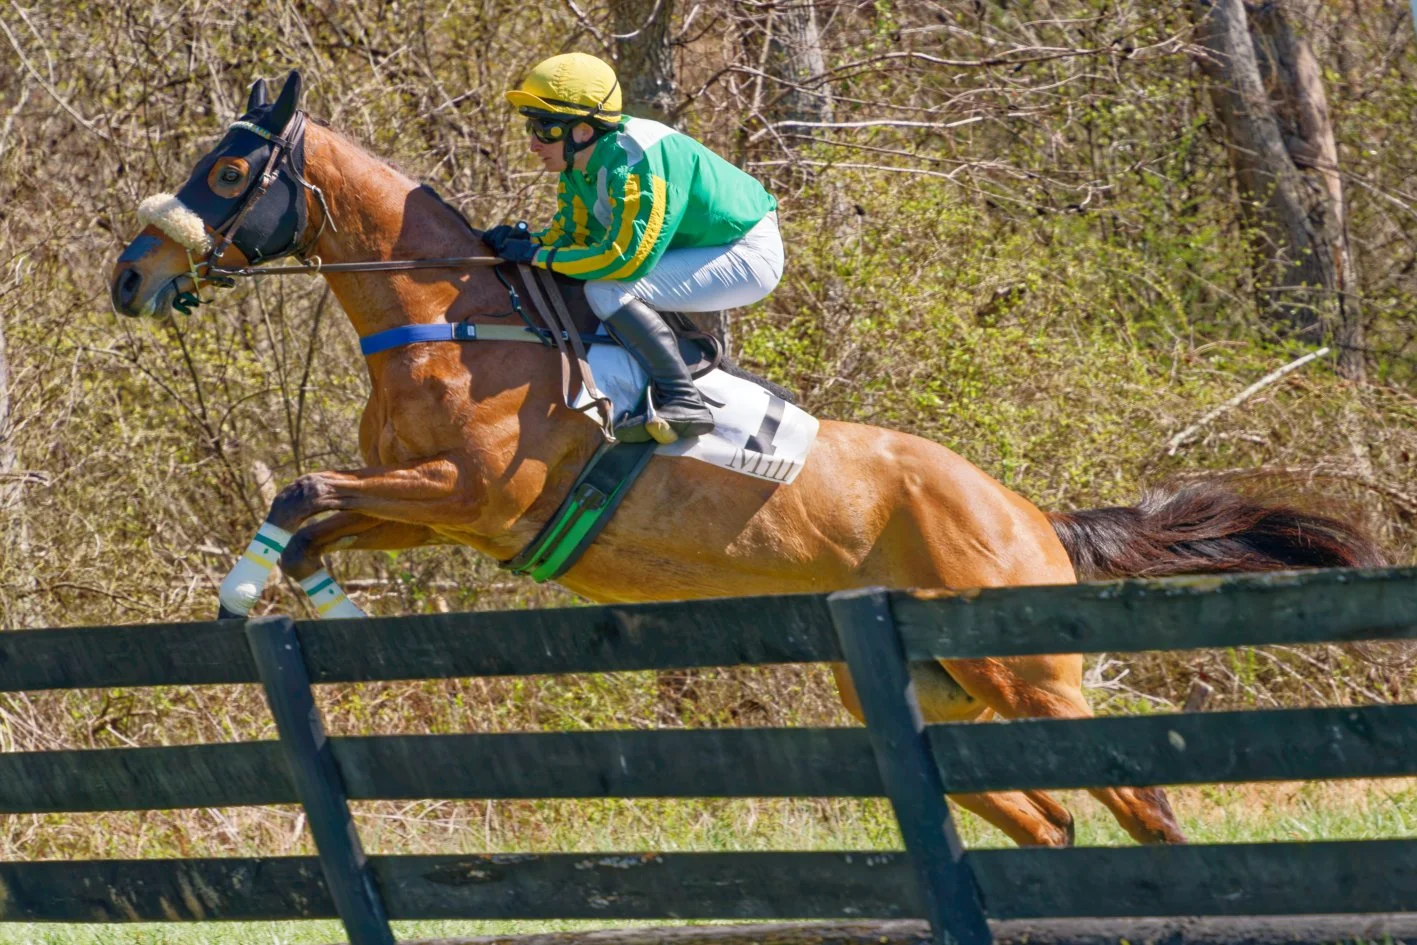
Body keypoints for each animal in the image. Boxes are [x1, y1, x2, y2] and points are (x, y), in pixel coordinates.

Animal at [109, 71, 1383, 849]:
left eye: (230, 174)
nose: (130, 277)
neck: (455, 323)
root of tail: (1028, 515)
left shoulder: (476, 495)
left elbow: (303, 488)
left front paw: (250, 588)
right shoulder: (436, 513)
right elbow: (315, 513)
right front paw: (316, 601)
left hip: (1030, 674)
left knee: (1143, 805)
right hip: (938, 692)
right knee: (1046, 819)